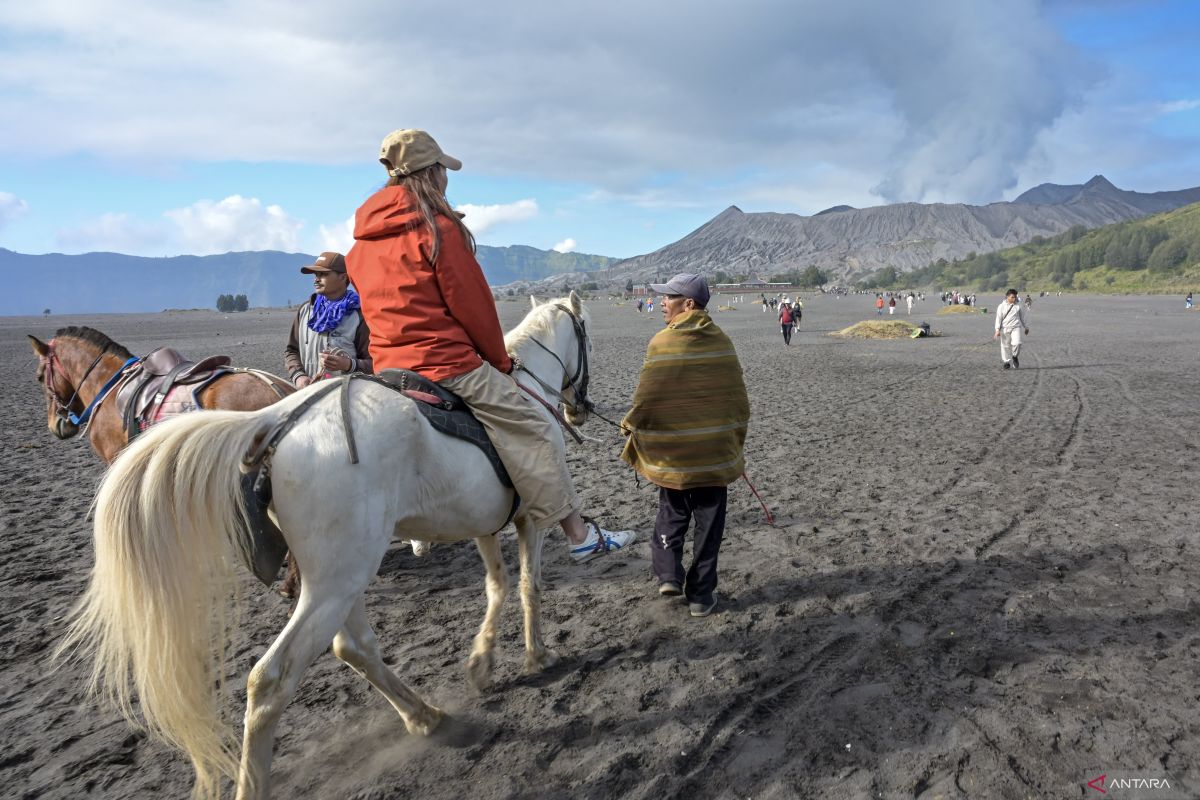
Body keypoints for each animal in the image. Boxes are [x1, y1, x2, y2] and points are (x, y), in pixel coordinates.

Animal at [58, 293, 597, 800]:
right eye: (585, 338)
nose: (577, 408)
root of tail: (276, 419)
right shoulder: (532, 518)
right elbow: (529, 586)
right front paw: (536, 655)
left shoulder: (484, 523)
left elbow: (498, 587)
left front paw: (482, 662)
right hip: (337, 582)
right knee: (271, 678)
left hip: (342, 574)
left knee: (352, 646)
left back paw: (425, 716)